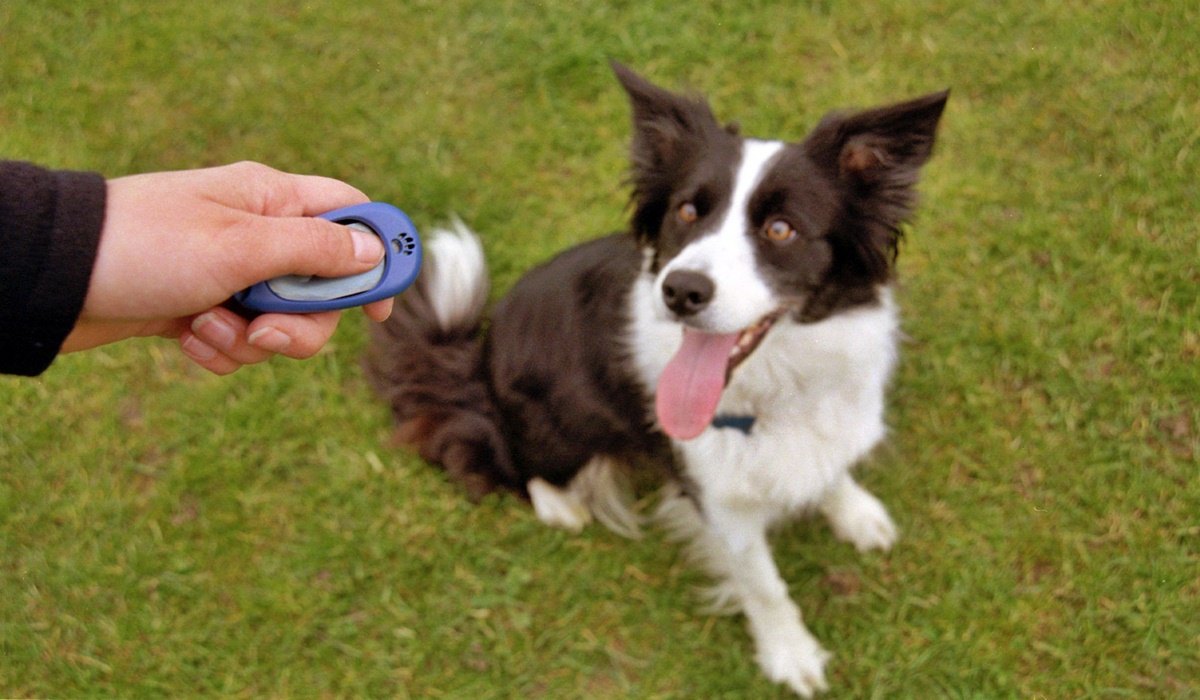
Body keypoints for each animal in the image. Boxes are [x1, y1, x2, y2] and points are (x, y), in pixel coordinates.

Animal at [364, 64, 945, 696]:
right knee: (514, 467)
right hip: (557, 430)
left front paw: (856, 513)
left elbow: (831, 469)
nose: (681, 290)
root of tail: (482, 360)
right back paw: (563, 506)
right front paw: (790, 655)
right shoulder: (715, 495)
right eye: (688, 212)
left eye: (781, 229)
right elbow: (763, 585)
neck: (779, 385)